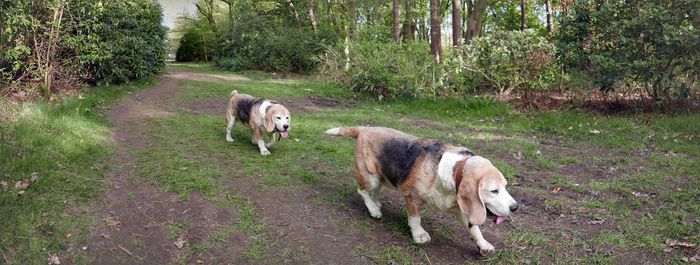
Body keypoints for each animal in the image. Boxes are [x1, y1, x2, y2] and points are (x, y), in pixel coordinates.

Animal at [326, 126, 516, 254]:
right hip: (371, 177)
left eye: (505, 186)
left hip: (382, 178)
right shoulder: (412, 198)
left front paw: (483, 244)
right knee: (363, 191)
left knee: (374, 192)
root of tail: (365, 128)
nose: (515, 207)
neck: (455, 169)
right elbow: (415, 219)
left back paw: (376, 204)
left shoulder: (463, 210)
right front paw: (419, 235)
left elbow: (475, 229)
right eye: (494, 190)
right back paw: (373, 209)